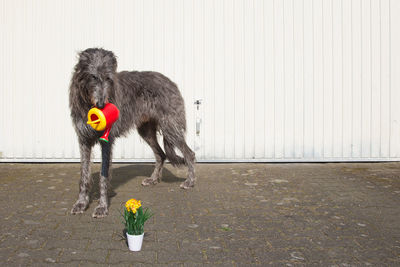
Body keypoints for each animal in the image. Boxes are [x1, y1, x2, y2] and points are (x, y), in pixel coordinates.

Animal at [69, 48, 196, 219]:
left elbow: (103, 176)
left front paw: (102, 207)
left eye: (109, 78)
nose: (102, 105)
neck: (88, 104)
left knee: (189, 153)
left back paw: (190, 182)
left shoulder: (107, 140)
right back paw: (153, 179)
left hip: (170, 126)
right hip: (145, 130)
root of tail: (170, 81)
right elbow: (84, 175)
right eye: (93, 76)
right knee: (161, 154)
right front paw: (81, 203)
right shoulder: (83, 140)